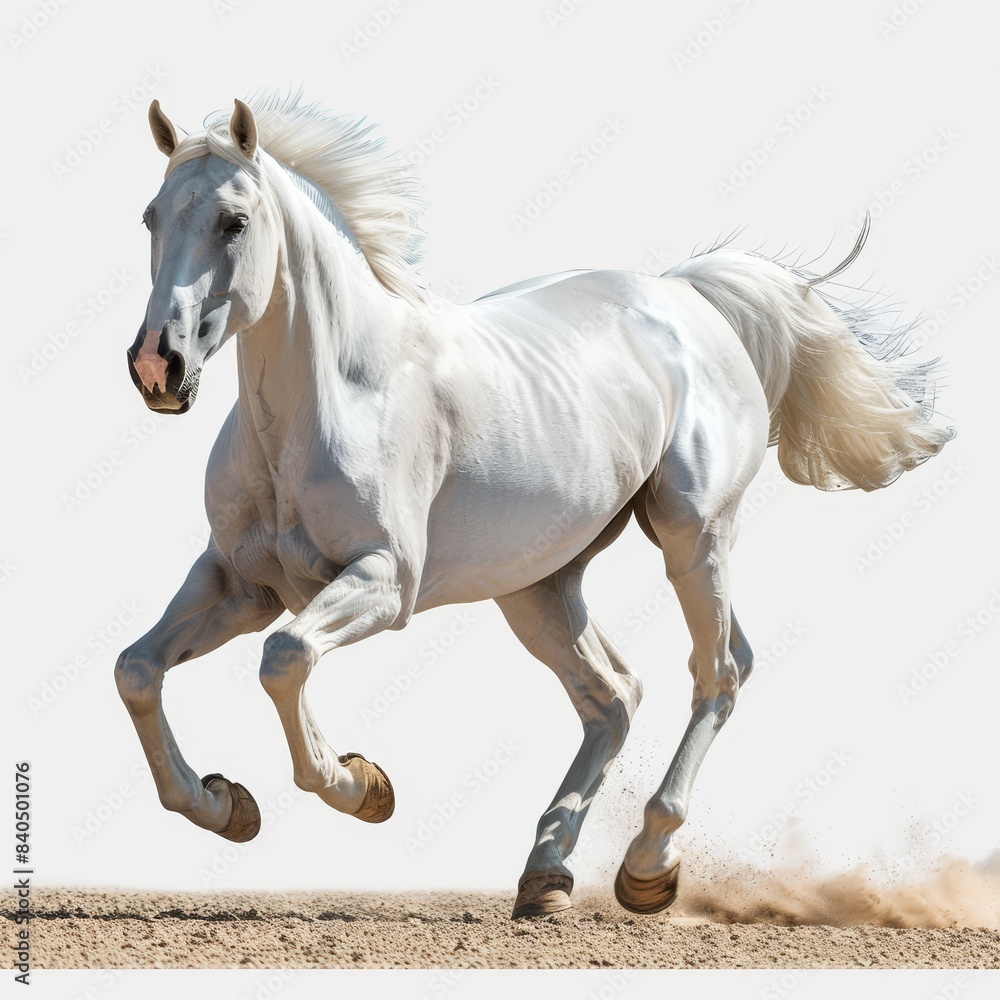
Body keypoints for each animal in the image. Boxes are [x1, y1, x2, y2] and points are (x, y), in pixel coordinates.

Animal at [116, 92, 954, 919]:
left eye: (234, 220)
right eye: (151, 216)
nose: (158, 366)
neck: (340, 394)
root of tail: (686, 294)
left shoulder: (384, 582)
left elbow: (284, 659)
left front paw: (363, 787)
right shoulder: (240, 583)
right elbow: (138, 669)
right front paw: (225, 805)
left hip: (692, 534)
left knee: (717, 672)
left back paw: (647, 866)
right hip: (539, 585)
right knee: (616, 696)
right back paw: (546, 875)